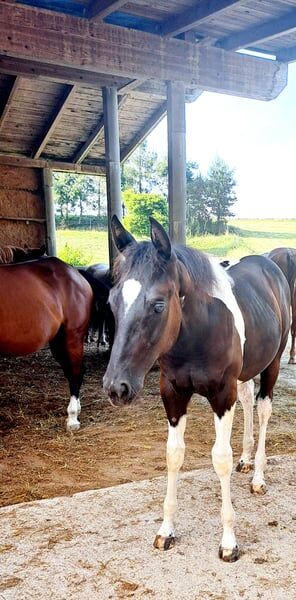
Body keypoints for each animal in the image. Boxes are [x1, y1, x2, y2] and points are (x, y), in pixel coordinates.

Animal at [103, 217, 290, 564]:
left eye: (158, 305)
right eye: (111, 302)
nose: (116, 388)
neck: (198, 331)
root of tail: (269, 265)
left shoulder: (222, 395)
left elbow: (220, 458)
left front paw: (229, 542)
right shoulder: (173, 394)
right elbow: (174, 454)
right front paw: (166, 530)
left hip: (271, 363)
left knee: (263, 408)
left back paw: (258, 476)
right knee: (248, 400)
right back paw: (247, 460)